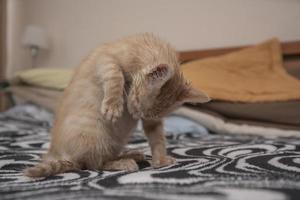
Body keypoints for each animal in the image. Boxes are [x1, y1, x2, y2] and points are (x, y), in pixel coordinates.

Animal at [24, 33, 210, 178]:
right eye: (136, 101)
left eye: (145, 115)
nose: (135, 115)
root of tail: (57, 154)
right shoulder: (105, 59)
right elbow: (115, 75)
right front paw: (113, 104)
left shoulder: (153, 122)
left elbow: (157, 137)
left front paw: (161, 159)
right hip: (94, 136)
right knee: (93, 164)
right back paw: (123, 162)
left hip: (114, 142)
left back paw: (132, 154)